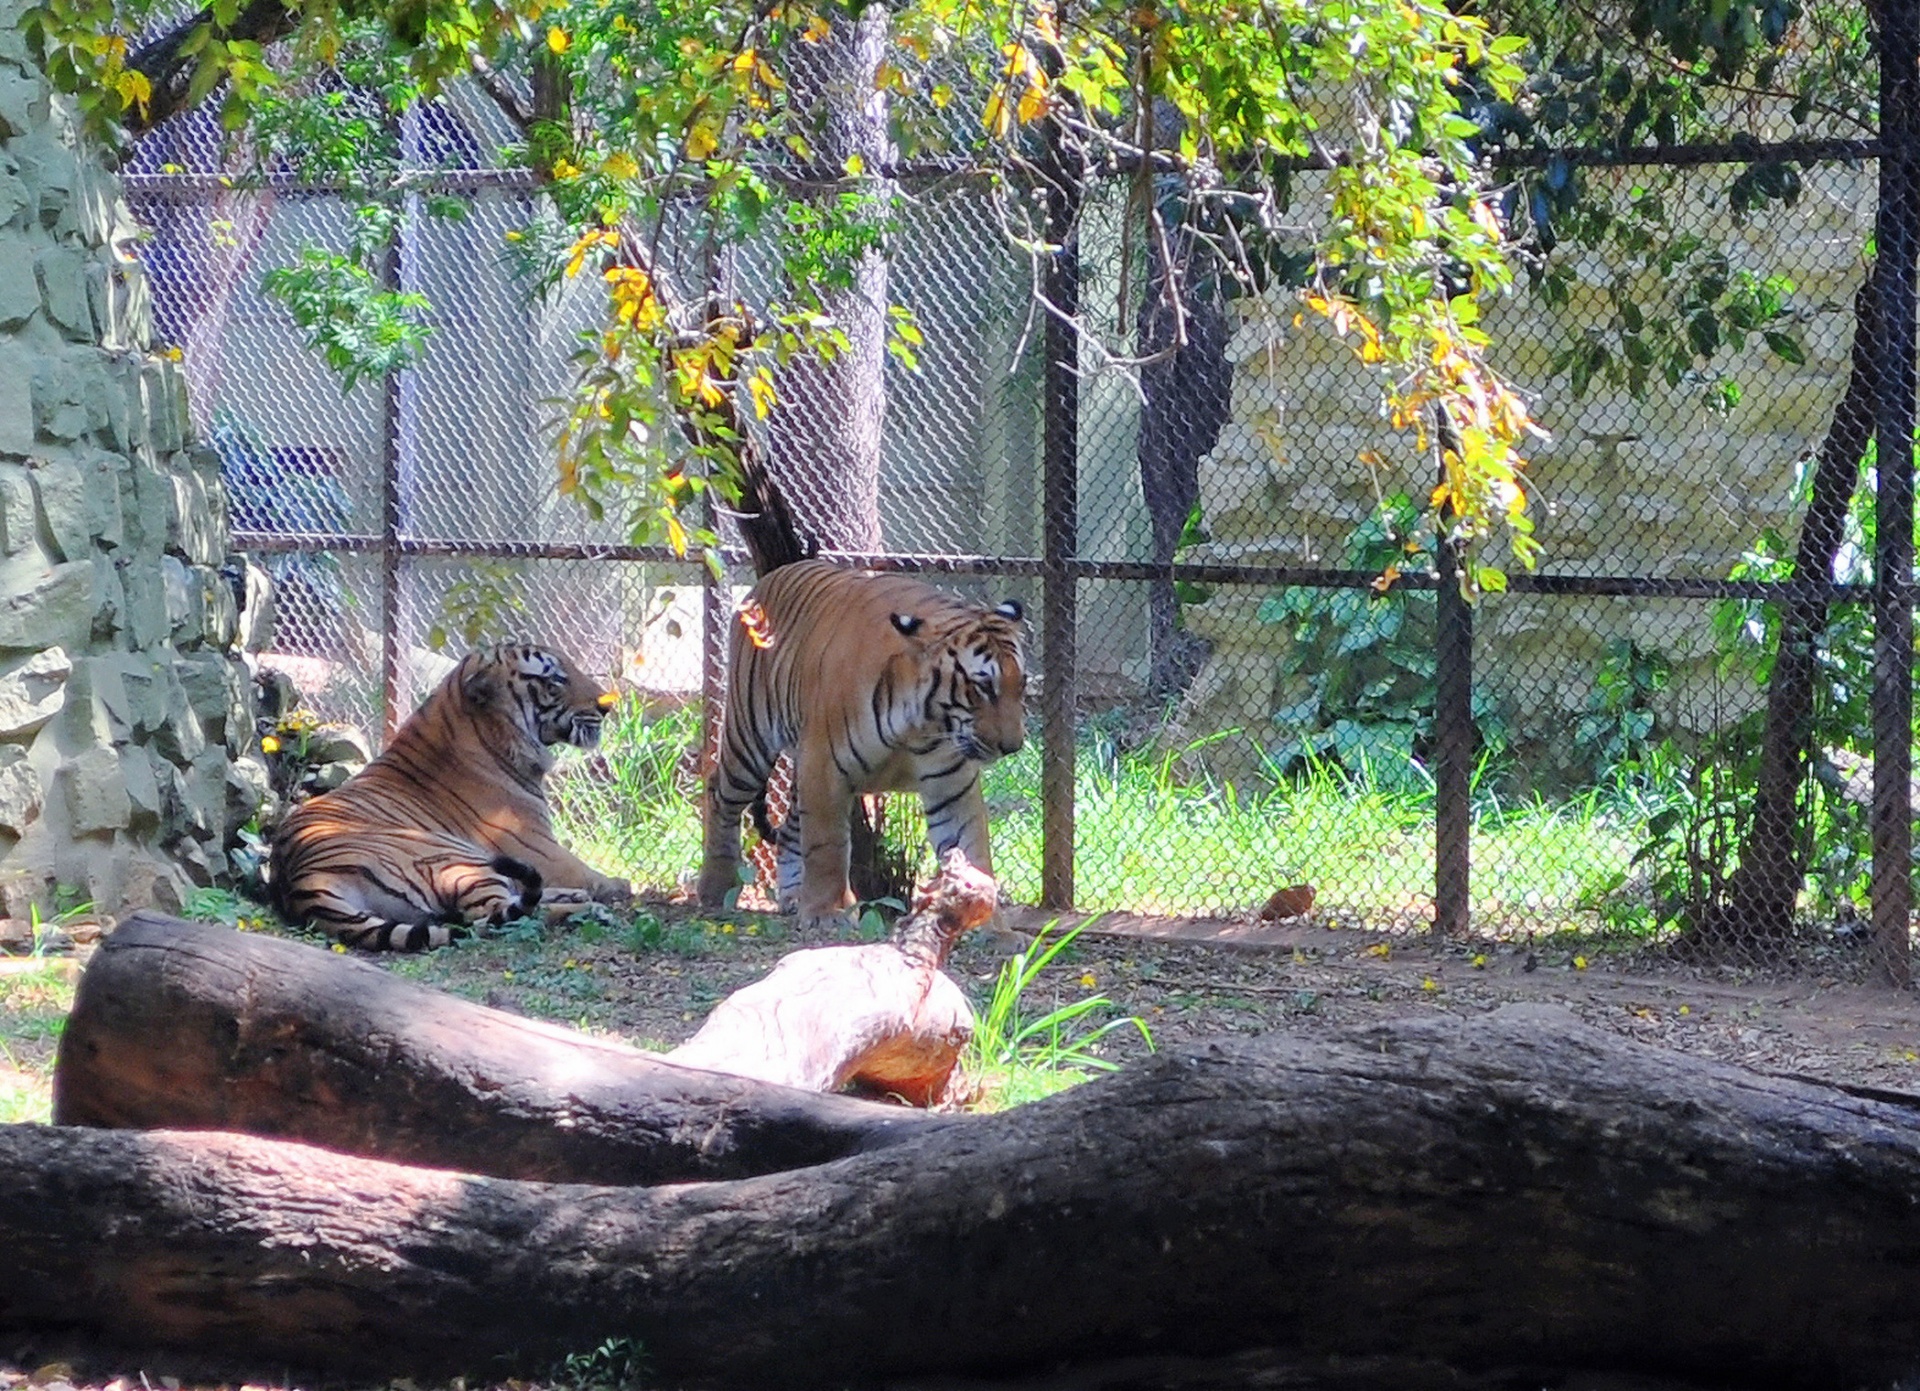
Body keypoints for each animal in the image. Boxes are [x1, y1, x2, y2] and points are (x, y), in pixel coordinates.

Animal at [270, 645, 633, 949]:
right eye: (555, 679)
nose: (608, 705)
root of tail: (304, 882)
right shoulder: (539, 846)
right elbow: (589, 872)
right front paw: (618, 885)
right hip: (457, 856)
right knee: (499, 915)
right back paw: (588, 909)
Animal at [698, 459, 1029, 933]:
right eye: (983, 686)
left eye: (1022, 685)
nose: (1012, 746)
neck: (924, 724)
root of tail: (768, 579)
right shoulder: (824, 768)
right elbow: (828, 845)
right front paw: (829, 913)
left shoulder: (952, 784)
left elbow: (973, 848)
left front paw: (994, 928)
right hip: (750, 739)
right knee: (720, 795)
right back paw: (715, 888)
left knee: (791, 825)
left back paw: (792, 896)